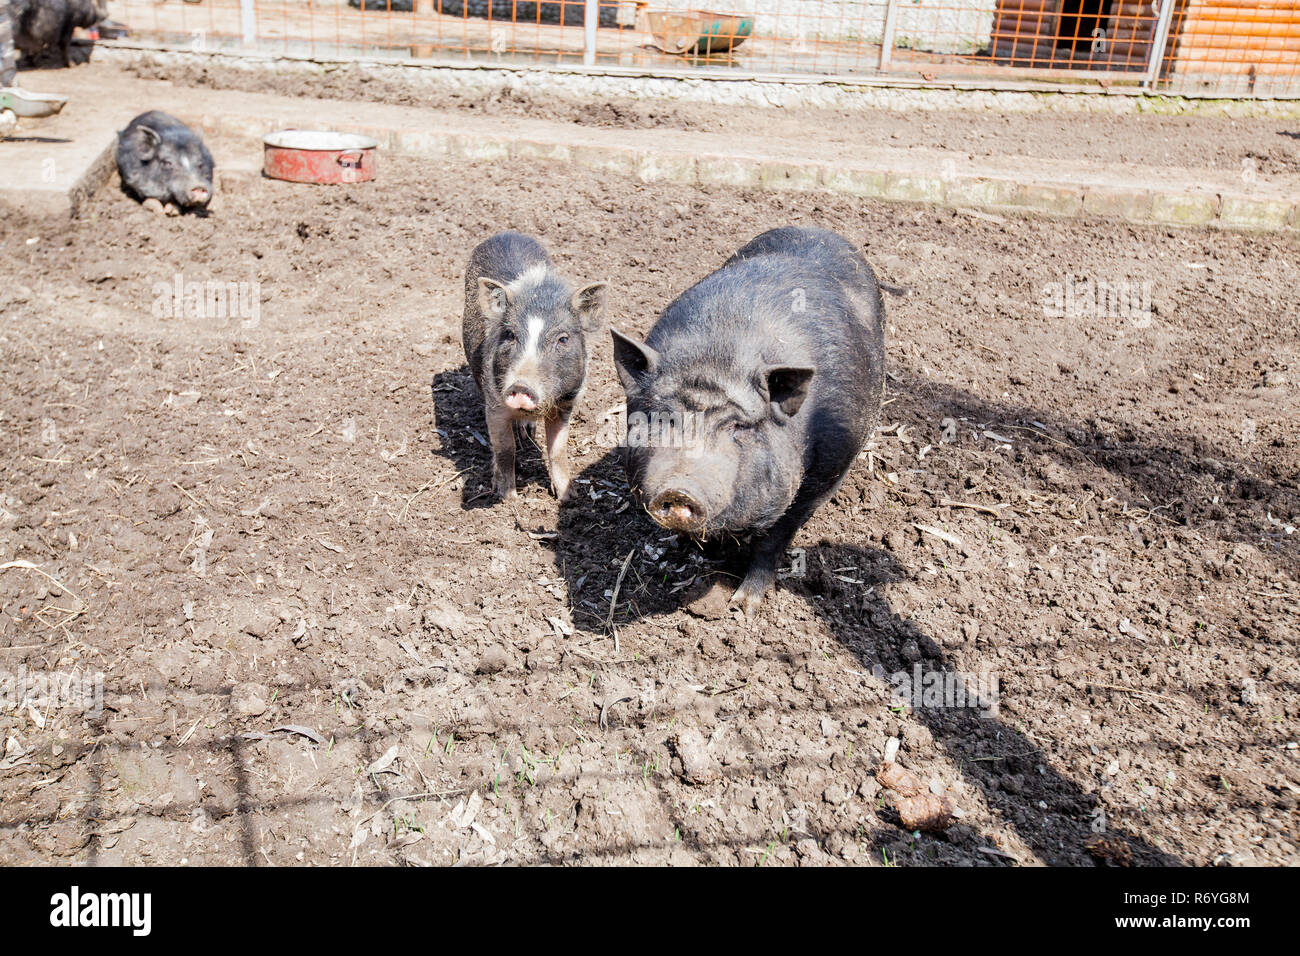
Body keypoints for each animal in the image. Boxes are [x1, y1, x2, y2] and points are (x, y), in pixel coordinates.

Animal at [462, 231, 607, 502]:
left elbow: (558, 450)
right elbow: (505, 448)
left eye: (563, 339)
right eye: (510, 335)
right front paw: (508, 497)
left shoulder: (567, 404)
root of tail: (506, 233)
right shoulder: (495, 403)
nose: (520, 386)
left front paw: (569, 496)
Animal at [611, 226, 885, 617]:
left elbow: (775, 539)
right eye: (662, 418)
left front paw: (743, 606)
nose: (680, 489)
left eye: (739, 427)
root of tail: (819, 230)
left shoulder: (824, 474)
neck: (718, 358)